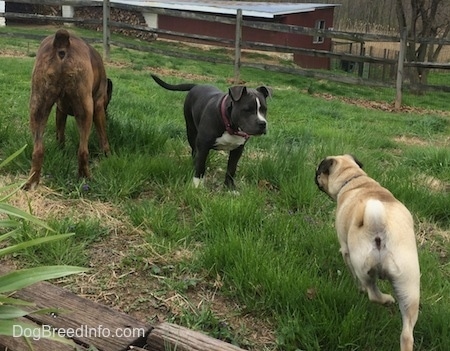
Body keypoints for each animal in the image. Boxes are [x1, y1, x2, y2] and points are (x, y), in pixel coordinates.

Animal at [24, 29, 112, 191]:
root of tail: (62, 41)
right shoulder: (98, 108)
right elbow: (103, 136)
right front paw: (108, 155)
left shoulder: (60, 110)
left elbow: (60, 133)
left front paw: (61, 150)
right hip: (86, 111)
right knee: (83, 151)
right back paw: (86, 178)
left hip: (38, 106)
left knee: (38, 150)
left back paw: (32, 181)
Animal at [314, 155, 420, 351]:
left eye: (319, 171)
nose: (315, 176)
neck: (354, 180)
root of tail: (379, 224)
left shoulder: (346, 251)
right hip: (409, 286)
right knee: (407, 333)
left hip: (363, 266)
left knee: (372, 292)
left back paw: (385, 299)